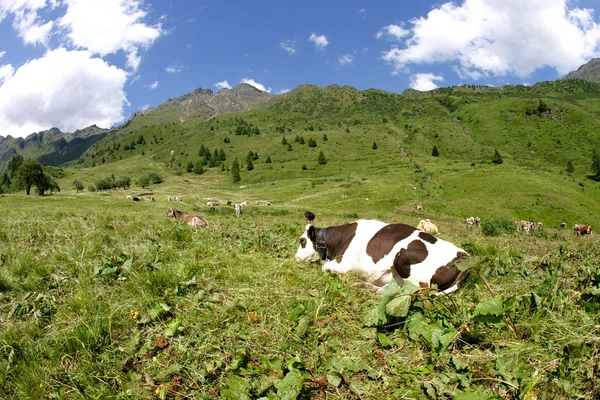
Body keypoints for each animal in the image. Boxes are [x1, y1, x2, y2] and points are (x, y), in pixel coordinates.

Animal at [296, 216, 468, 294]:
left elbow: (324, 269)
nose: (295, 259)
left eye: (302, 241)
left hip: (407, 263)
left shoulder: (342, 264)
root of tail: (463, 255)